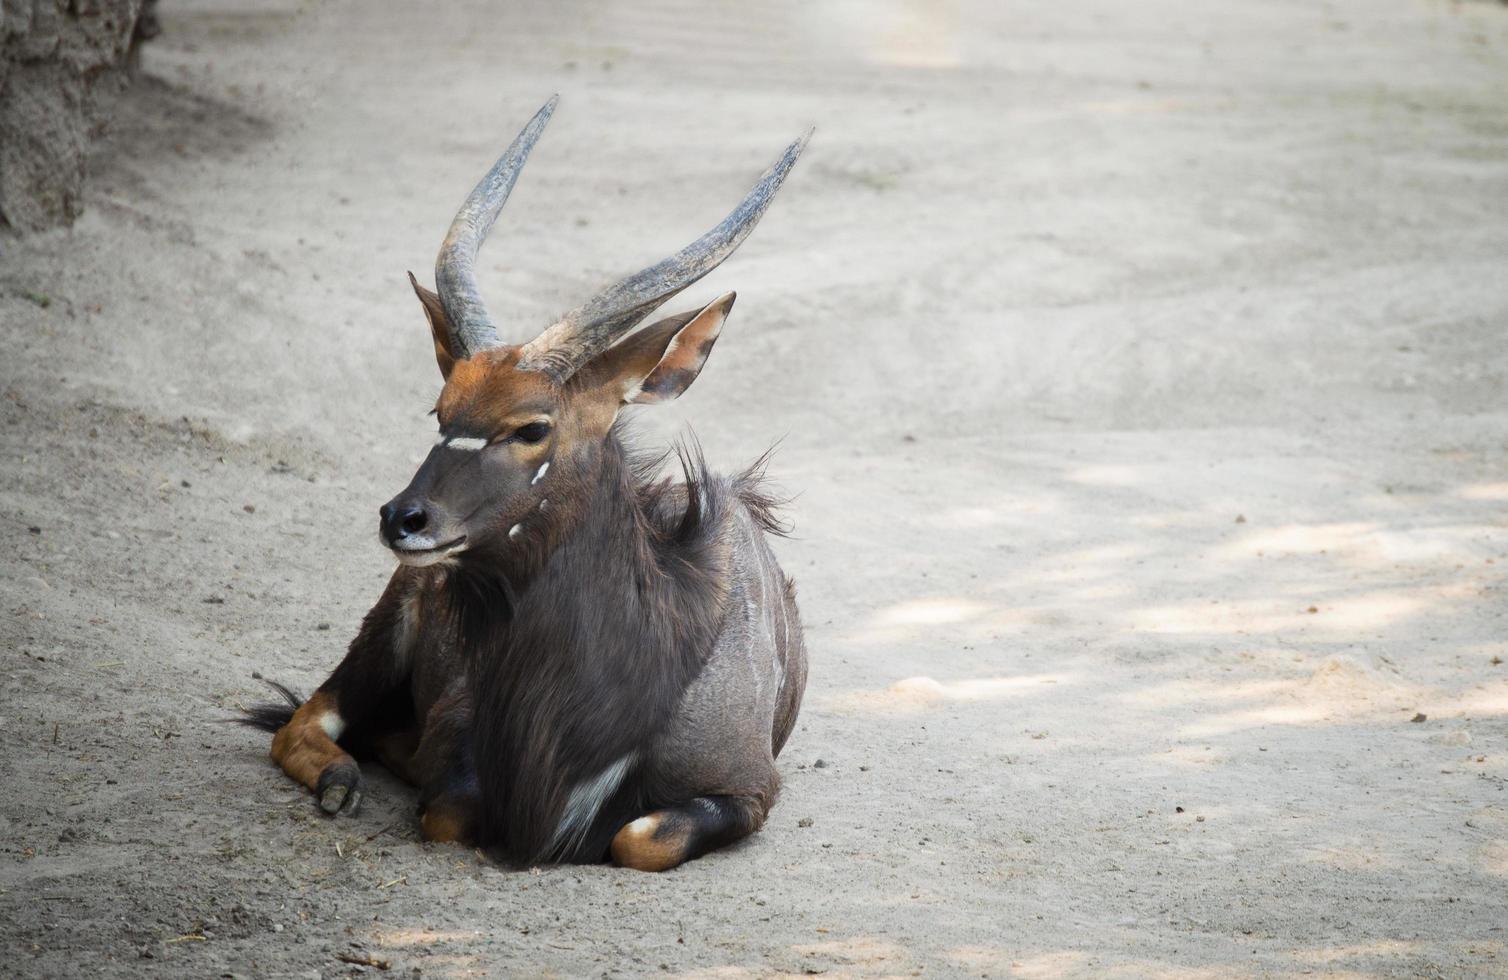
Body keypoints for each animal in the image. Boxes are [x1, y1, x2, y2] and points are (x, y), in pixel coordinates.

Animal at [244, 95, 814, 868]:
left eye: (532, 427)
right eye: (441, 409)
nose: (404, 518)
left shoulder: (749, 788)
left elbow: (639, 836)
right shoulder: (458, 738)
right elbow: (447, 813)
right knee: (305, 720)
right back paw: (343, 780)